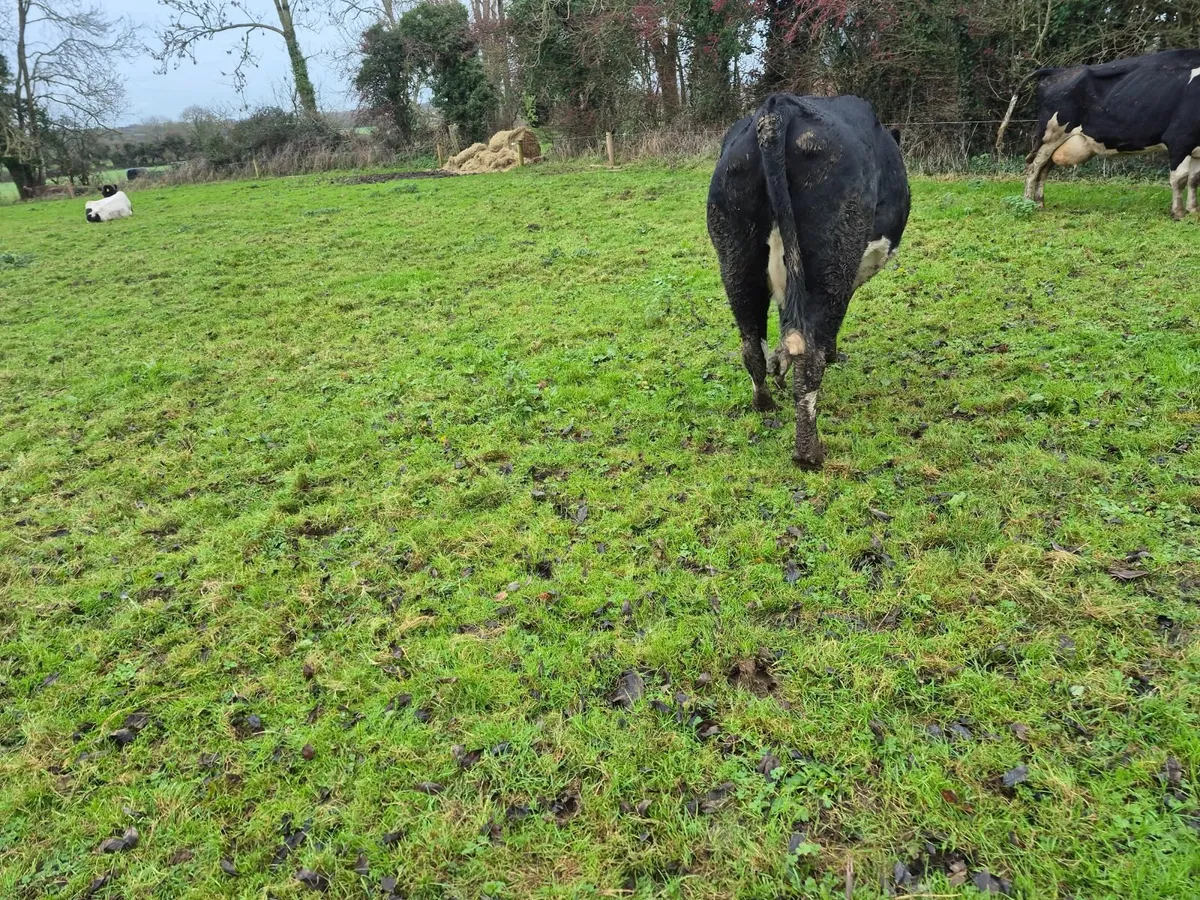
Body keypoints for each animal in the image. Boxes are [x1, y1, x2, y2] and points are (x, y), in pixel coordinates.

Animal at [707, 93, 910, 468]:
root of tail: (777, 108)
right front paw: (832, 355)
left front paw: (779, 371)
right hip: (832, 262)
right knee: (808, 355)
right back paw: (809, 452)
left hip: (736, 256)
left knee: (751, 344)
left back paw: (765, 403)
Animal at [1021, 50, 1200, 217]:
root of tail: (1058, 71)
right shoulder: (1179, 140)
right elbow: (1180, 179)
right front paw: (1178, 213)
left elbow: (1194, 179)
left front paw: (1193, 210)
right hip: (1049, 137)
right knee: (1033, 167)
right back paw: (1028, 203)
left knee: (1043, 170)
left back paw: (1040, 203)